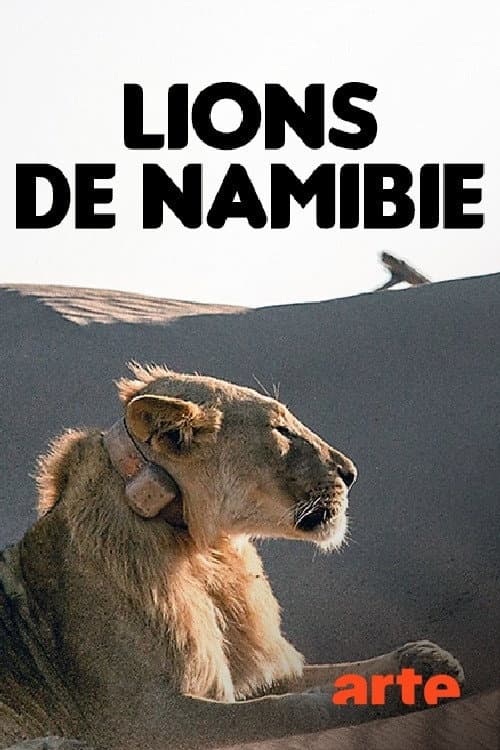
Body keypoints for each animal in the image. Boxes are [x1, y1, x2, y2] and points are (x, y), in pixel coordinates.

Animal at [0, 364, 463, 750]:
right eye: (281, 431)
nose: (351, 473)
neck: (204, 551)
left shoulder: (258, 669)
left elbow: (337, 673)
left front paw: (425, 661)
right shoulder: (146, 719)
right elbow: (284, 711)